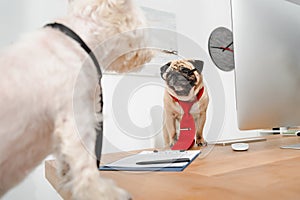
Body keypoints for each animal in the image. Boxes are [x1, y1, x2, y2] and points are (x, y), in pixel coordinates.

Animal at [0, 0, 152, 199]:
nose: (151, 54)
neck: (79, 41)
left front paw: (66, 175)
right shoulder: (78, 115)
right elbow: (85, 161)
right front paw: (101, 191)